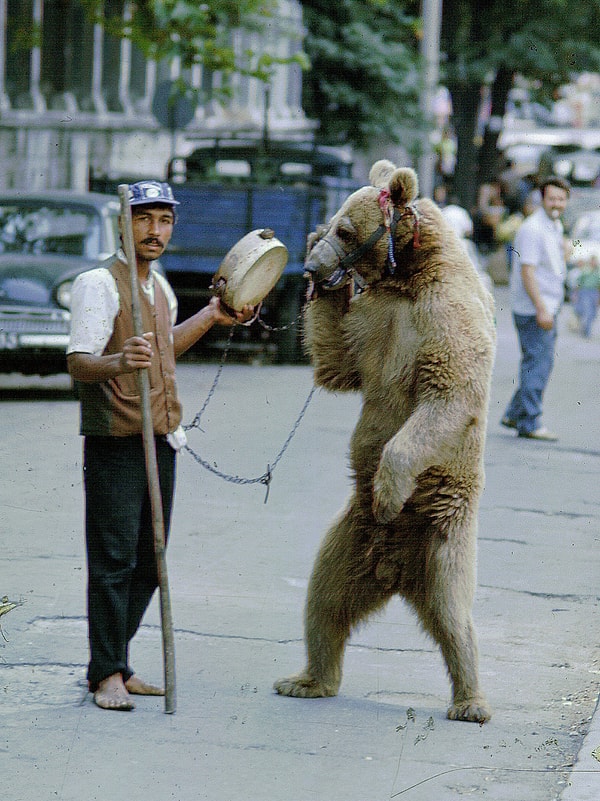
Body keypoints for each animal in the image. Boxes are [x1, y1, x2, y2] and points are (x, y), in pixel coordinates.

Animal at [274, 159, 494, 720]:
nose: (312, 268)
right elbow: (337, 363)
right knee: (324, 600)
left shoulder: (444, 317)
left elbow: (447, 394)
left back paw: (471, 701)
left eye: (348, 230)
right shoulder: (376, 320)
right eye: (331, 225)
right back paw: (307, 679)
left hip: (445, 529)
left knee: (454, 612)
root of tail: (395, 571)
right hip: (350, 536)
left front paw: (390, 489)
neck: (408, 277)